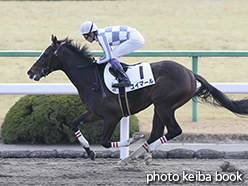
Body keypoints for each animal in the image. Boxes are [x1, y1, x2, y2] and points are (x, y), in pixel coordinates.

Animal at [27, 35, 248, 166]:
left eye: (45, 54)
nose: (30, 72)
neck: (91, 78)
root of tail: (190, 73)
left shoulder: (112, 116)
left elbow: (105, 142)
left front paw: (132, 138)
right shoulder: (94, 113)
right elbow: (74, 124)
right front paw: (89, 151)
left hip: (164, 105)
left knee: (174, 130)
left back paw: (140, 153)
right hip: (160, 107)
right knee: (158, 131)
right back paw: (136, 156)